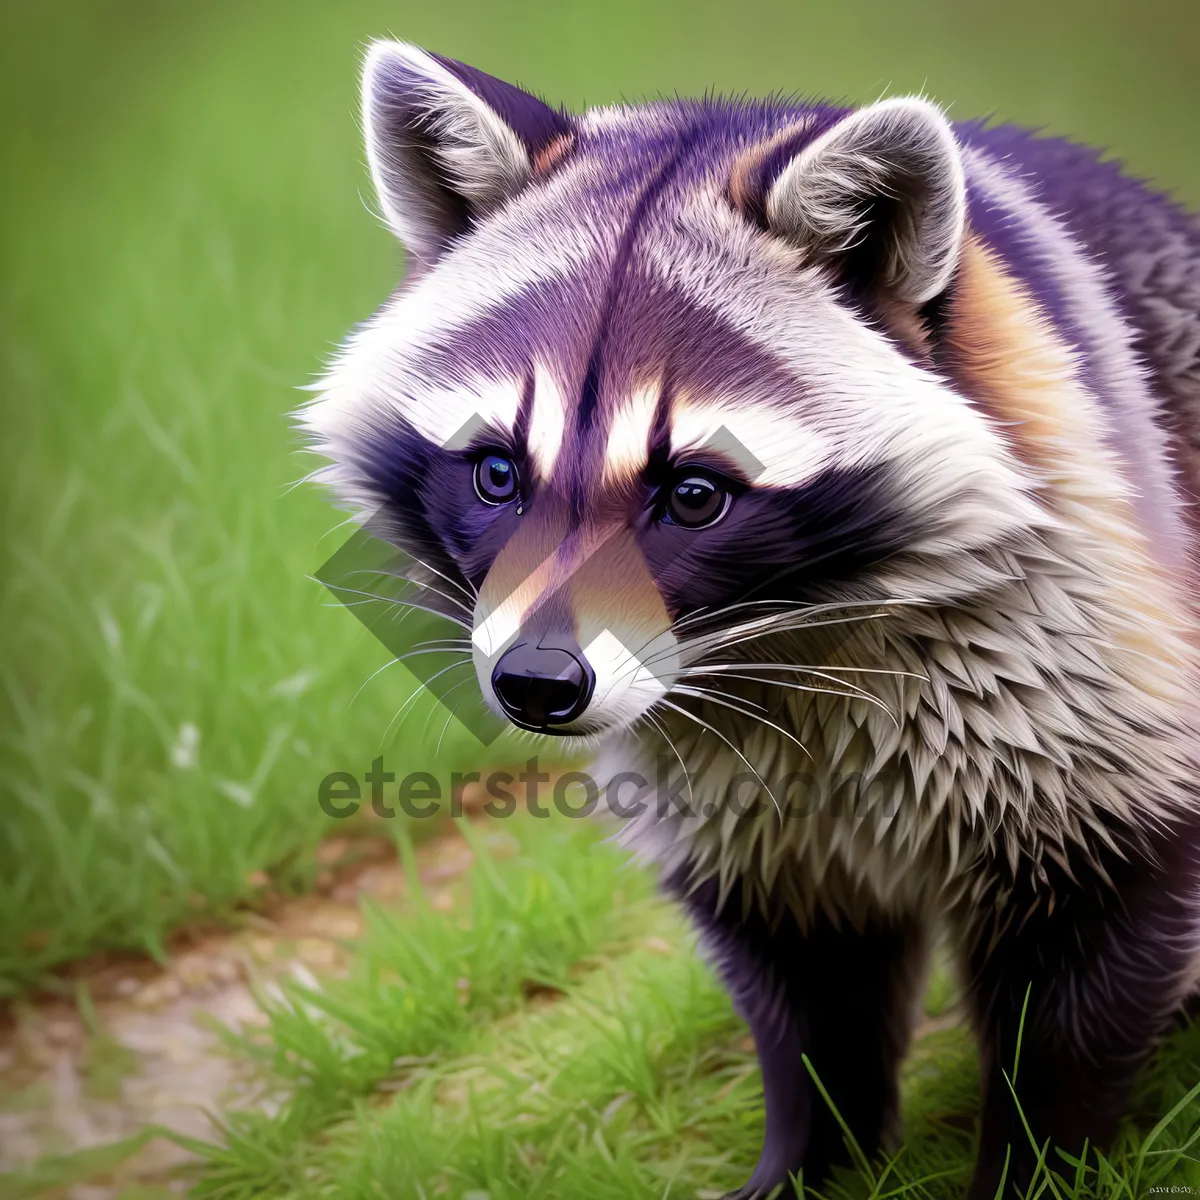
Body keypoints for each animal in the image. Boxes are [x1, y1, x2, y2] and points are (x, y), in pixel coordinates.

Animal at [304, 39, 1200, 1200]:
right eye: (497, 474)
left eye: (693, 495)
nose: (537, 684)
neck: (785, 640)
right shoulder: (737, 813)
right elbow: (806, 986)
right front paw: (814, 1151)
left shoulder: (1084, 653)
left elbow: (1086, 952)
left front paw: (1040, 1160)